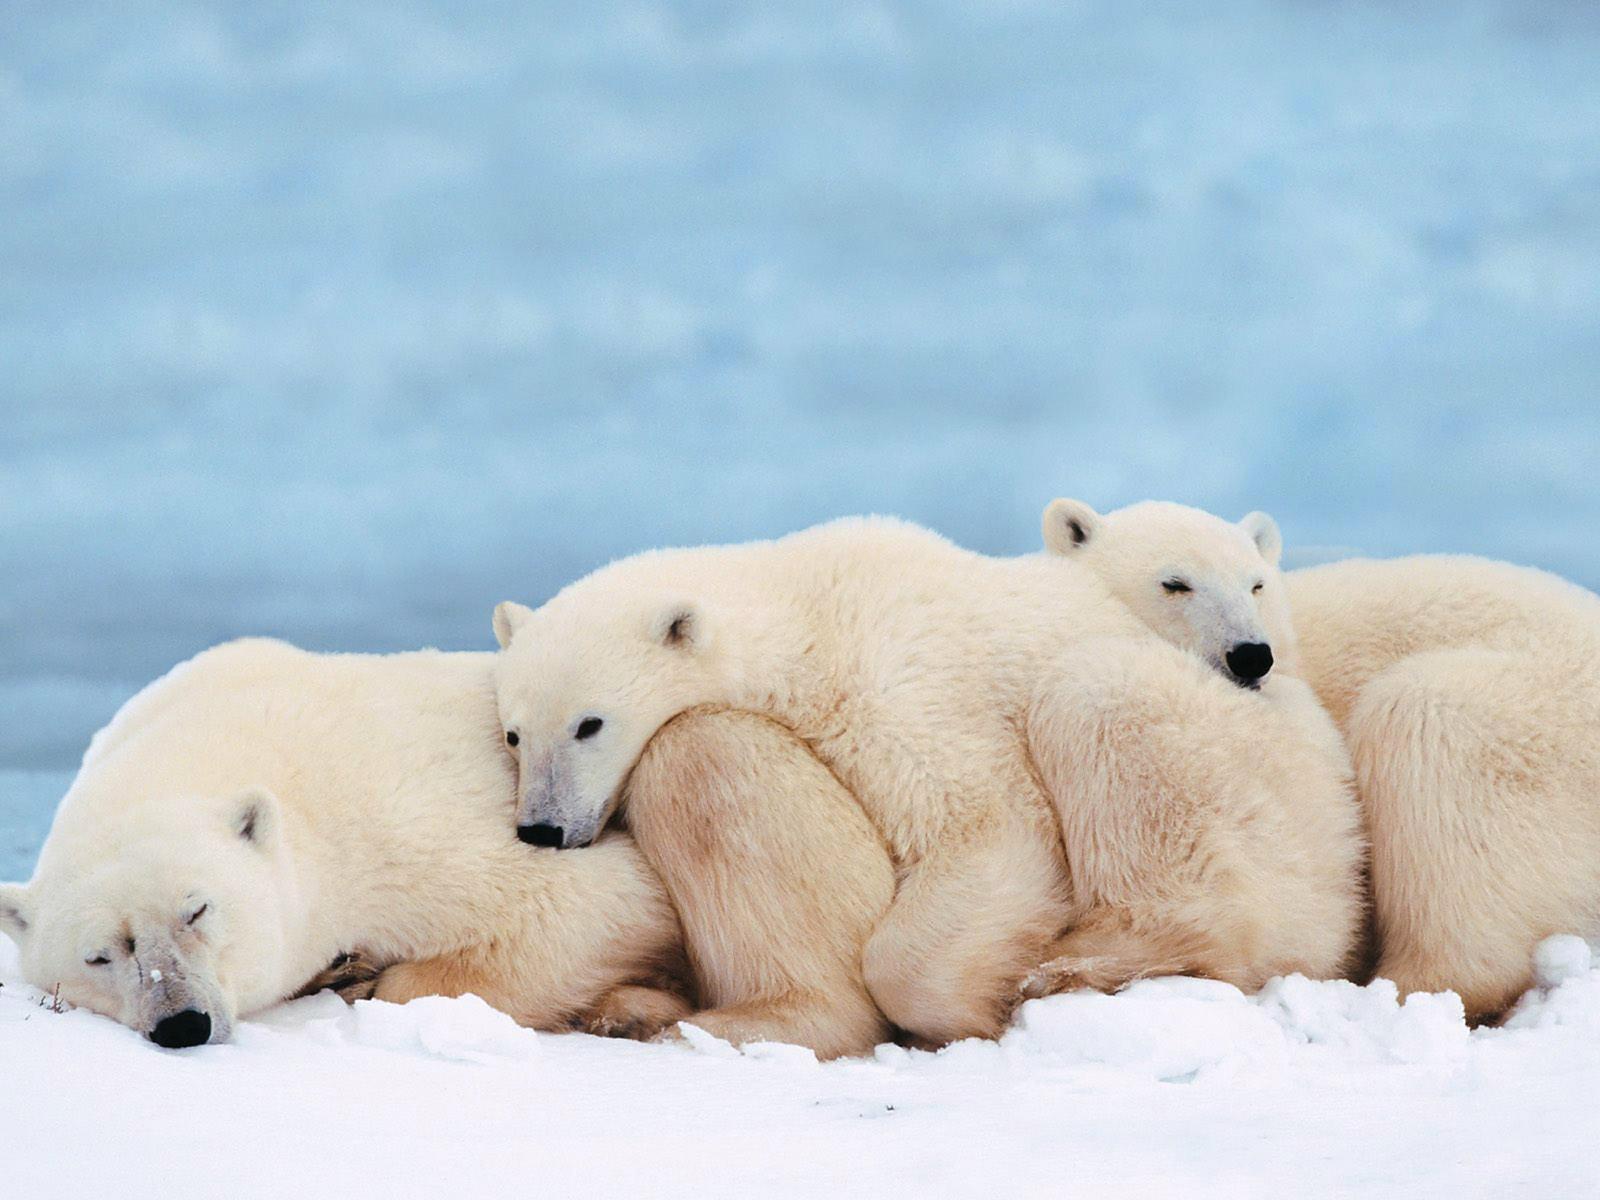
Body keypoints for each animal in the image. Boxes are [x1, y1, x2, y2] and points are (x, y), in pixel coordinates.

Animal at [0, 638, 896, 1057]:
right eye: (100, 955)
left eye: (198, 909)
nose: (181, 1023)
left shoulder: (397, 819)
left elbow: (591, 903)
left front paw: (369, 976)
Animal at [491, 516, 1365, 1046]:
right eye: (514, 732)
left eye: (589, 723)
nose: (542, 828)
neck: (808, 608)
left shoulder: (900, 684)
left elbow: (986, 828)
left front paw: (972, 1008)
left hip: (1253, 780)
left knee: (1100, 700)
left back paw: (1083, 964)